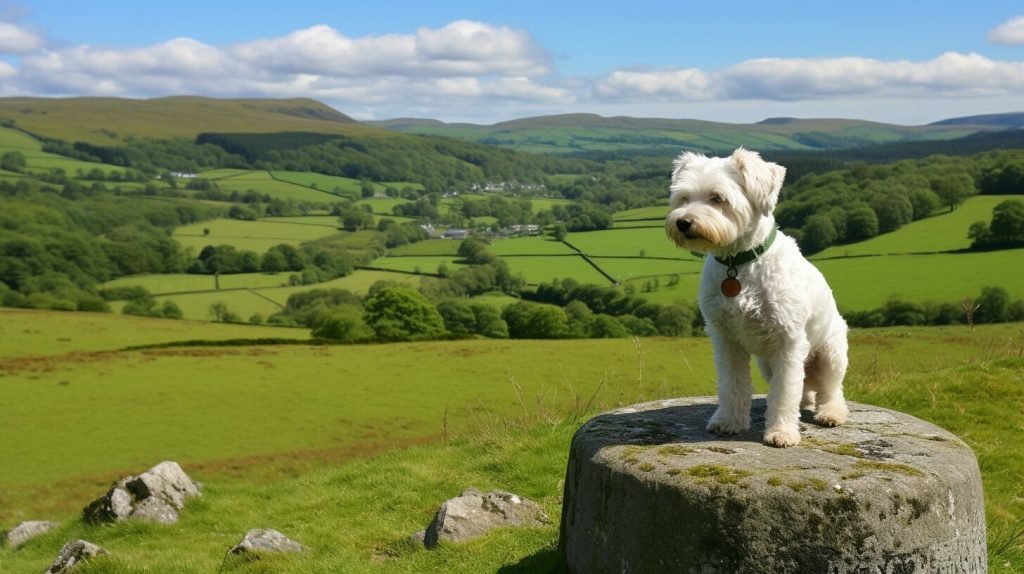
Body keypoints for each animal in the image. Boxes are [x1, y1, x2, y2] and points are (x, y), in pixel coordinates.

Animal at [663, 147, 847, 448]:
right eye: (684, 198)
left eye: (718, 198)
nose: (682, 222)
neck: (738, 262)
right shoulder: (725, 338)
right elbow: (732, 384)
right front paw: (729, 421)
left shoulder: (788, 341)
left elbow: (784, 391)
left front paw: (782, 432)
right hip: (767, 364)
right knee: (805, 392)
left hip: (831, 354)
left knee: (831, 390)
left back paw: (831, 413)